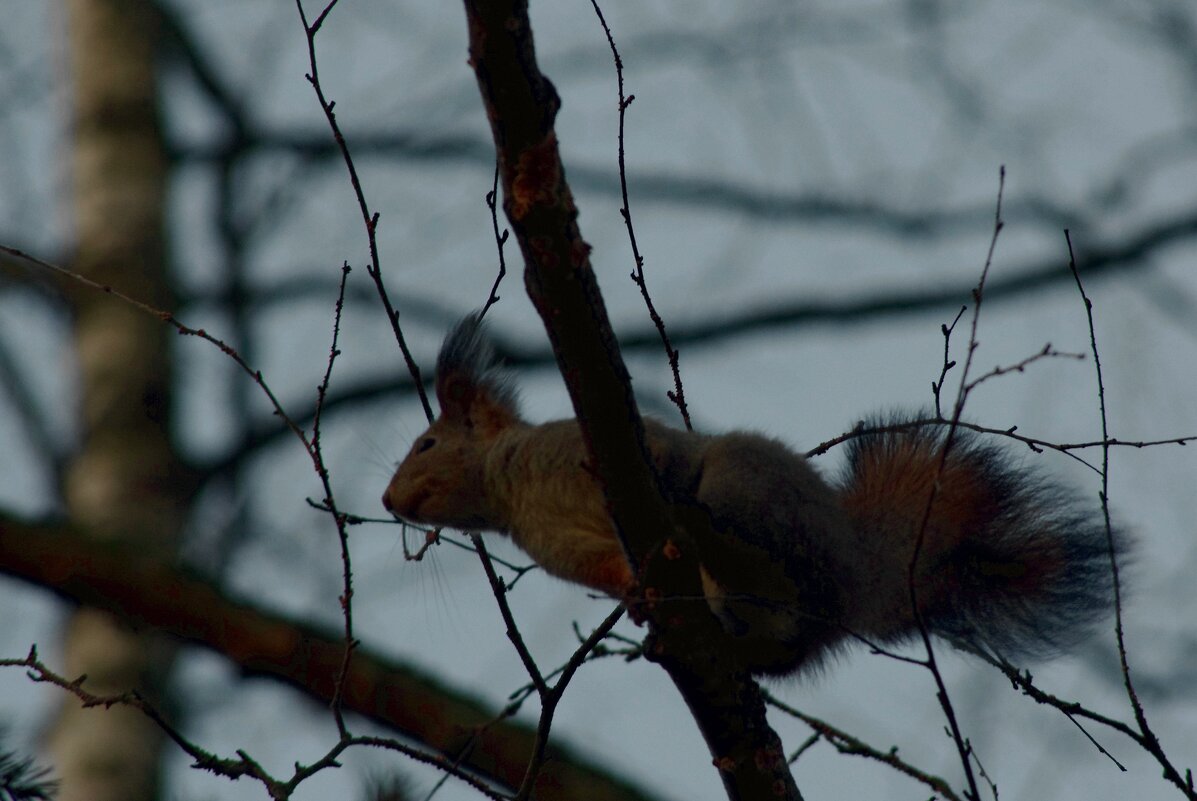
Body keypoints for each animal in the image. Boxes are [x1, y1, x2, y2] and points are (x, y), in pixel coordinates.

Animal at [385, 311, 1129, 675]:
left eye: (425, 444)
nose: (391, 501)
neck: (511, 489)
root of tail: (858, 578)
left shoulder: (589, 445)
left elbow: (659, 455)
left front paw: (661, 490)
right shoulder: (561, 549)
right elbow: (608, 569)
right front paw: (633, 597)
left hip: (745, 486)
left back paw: (695, 528)